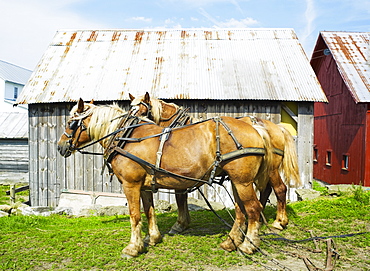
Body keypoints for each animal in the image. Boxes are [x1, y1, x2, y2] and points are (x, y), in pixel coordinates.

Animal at [57, 99, 272, 258]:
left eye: (70, 123)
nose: (60, 146)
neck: (126, 136)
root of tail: (254, 129)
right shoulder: (144, 186)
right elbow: (149, 211)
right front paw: (153, 238)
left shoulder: (130, 184)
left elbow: (134, 215)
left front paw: (133, 248)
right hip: (236, 181)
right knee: (240, 210)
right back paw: (230, 242)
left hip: (243, 181)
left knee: (253, 209)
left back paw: (248, 245)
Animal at [129, 92, 300, 235]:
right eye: (131, 109)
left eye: (142, 111)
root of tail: (277, 127)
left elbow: (180, 198)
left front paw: (180, 224)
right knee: (266, 190)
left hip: (271, 169)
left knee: (280, 189)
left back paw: (279, 222)